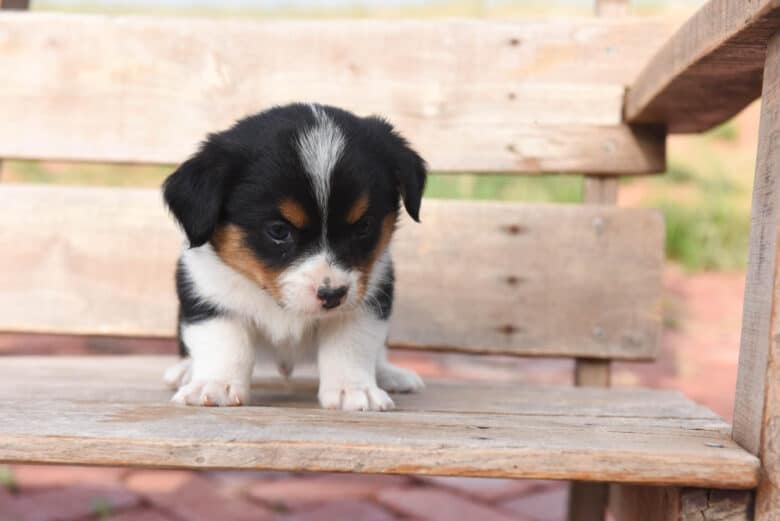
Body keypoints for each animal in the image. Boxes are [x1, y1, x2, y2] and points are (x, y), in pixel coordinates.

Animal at [161, 102, 424, 410]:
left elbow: (351, 344)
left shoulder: (367, 299)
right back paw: (185, 370)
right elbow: (225, 342)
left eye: (364, 226)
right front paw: (216, 385)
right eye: (278, 230)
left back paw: (390, 374)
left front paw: (353, 389)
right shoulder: (209, 296)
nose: (332, 295)